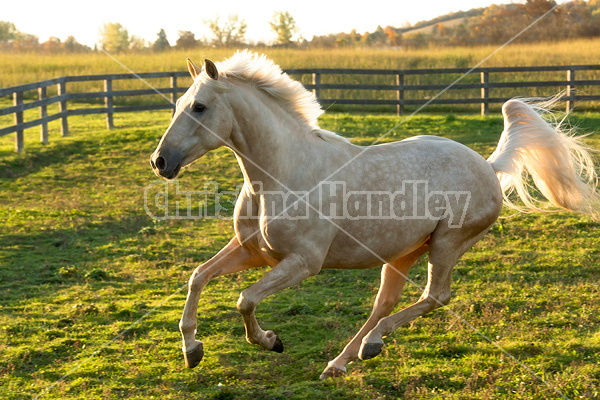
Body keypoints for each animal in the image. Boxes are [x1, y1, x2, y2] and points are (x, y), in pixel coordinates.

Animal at [149, 50, 596, 378]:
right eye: (179, 105)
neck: (281, 173)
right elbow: (198, 277)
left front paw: (271, 341)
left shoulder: (303, 262)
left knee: (435, 296)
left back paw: (368, 346)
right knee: (386, 302)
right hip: (404, 251)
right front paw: (192, 350)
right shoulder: (253, 252)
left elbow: (245, 300)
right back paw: (346, 359)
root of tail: (489, 164)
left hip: (448, 243)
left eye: (199, 107)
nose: (160, 161)